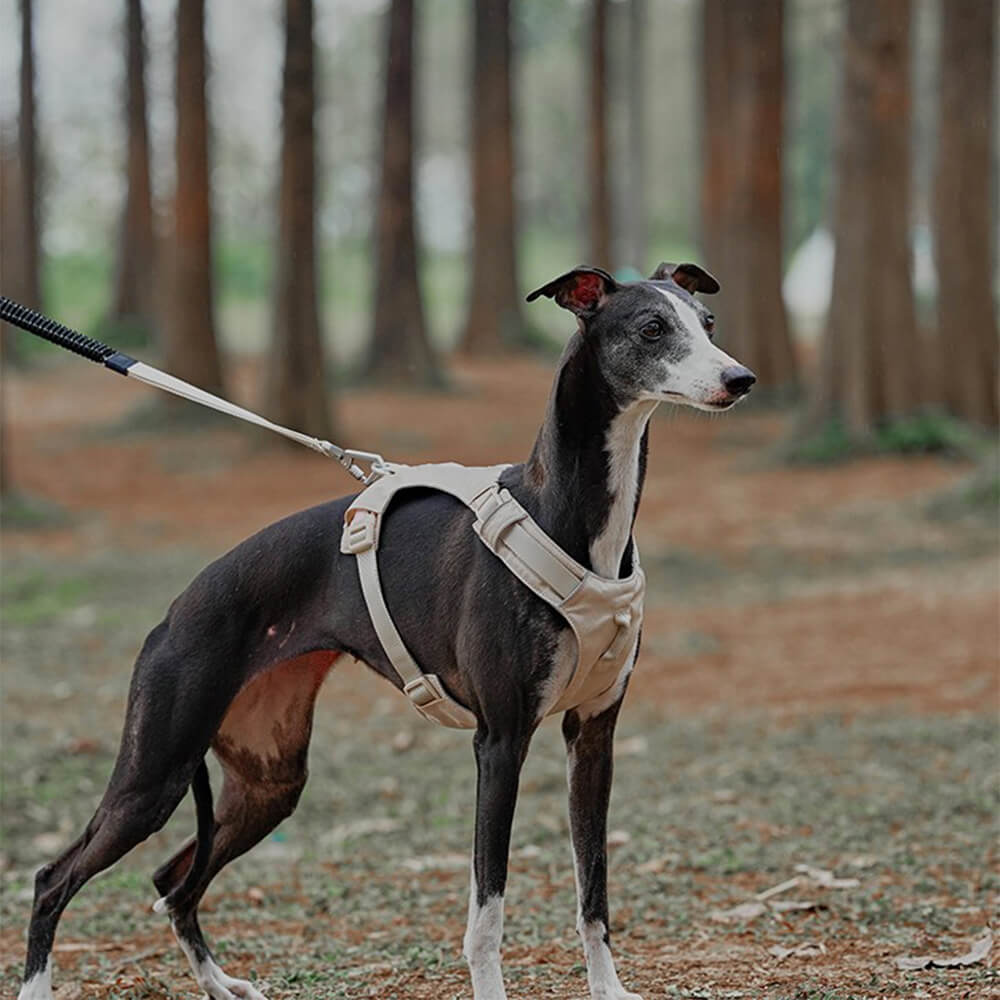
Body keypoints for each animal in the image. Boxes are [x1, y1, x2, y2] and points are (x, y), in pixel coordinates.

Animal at [17, 264, 752, 1000]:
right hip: (155, 771)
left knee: (172, 881)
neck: (563, 516)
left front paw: (608, 988)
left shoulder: (594, 733)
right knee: (54, 877)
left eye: (708, 323)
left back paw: (221, 983)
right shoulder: (500, 741)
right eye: (652, 328)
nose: (740, 378)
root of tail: (175, 611)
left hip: (267, 782)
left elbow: (593, 889)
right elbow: (488, 911)